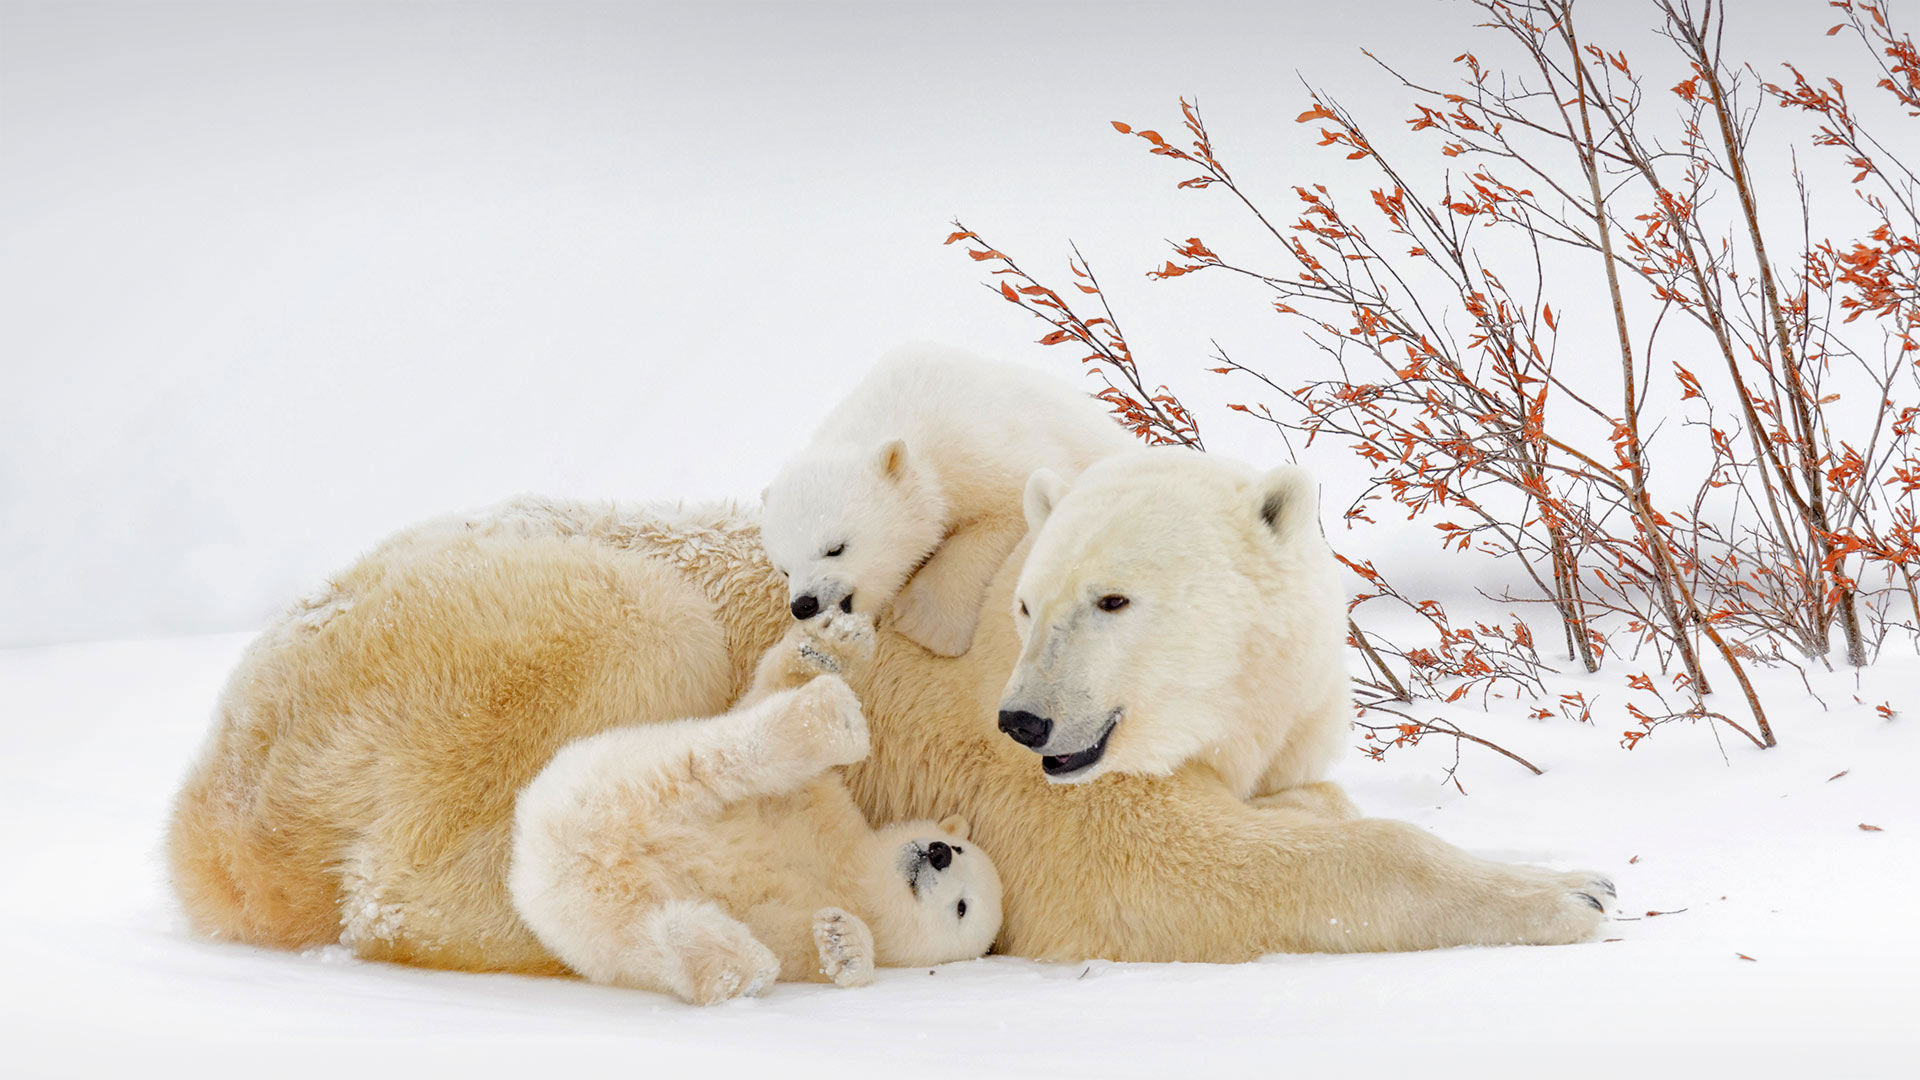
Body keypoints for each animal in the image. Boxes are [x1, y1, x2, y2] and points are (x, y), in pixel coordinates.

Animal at [508, 612, 1003, 1004]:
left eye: (962, 907)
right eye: (958, 848)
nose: (938, 852)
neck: (847, 873)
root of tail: (543, 850)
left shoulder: (795, 930)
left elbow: (825, 949)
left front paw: (844, 942)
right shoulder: (822, 809)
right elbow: (773, 700)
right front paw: (828, 644)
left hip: (595, 911)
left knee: (650, 931)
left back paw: (734, 966)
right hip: (618, 768)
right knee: (721, 760)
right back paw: (829, 719)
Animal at [759, 343, 1136, 658]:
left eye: (836, 548)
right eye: (783, 568)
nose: (803, 604)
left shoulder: (982, 450)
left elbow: (1009, 510)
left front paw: (924, 622)